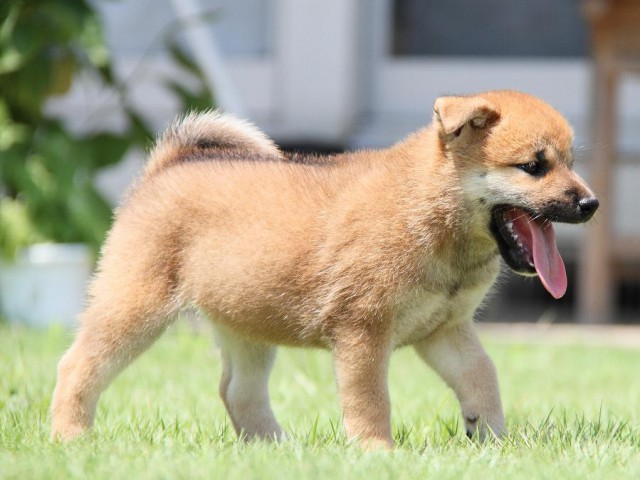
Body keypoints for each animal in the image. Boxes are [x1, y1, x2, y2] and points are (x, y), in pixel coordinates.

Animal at [52, 91, 596, 450]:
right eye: (534, 166)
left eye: (571, 162)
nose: (591, 204)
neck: (428, 209)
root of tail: (168, 165)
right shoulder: (363, 332)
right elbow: (370, 400)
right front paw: (379, 454)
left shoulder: (445, 330)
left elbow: (482, 377)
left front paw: (493, 438)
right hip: (134, 305)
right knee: (78, 367)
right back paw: (70, 437)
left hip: (246, 322)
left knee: (238, 392)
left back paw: (277, 448)